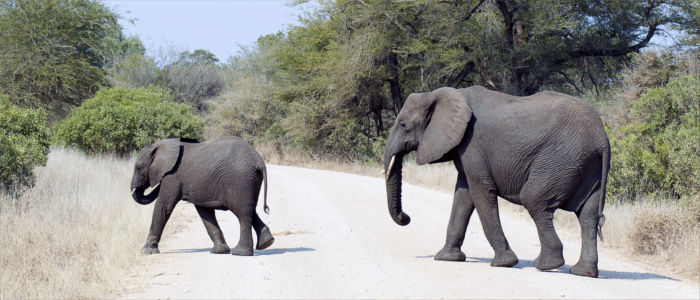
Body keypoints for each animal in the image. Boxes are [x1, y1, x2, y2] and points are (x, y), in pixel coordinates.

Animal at [131, 136, 274, 255]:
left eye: (138, 167)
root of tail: (259, 161)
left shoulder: (172, 176)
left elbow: (163, 206)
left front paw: (146, 252)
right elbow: (204, 211)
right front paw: (219, 251)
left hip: (240, 179)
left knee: (243, 213)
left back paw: (241, 253)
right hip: (250, 180)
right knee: (250, 209)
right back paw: (266, 243)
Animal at [386, 85, 608, 278]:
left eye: (403, 125)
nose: (406, 217)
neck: (443, 94)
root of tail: (602, 138)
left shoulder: (472, 143)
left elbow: (481, 193)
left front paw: (504, 263)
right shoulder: (466, 147)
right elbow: (463, 195)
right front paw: (446, 258)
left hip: (561, 159)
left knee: (534, 200)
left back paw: (546, 265)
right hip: (587, 164)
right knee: (588, 216)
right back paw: (583, 272)